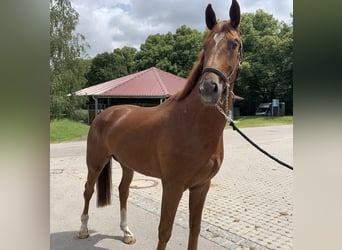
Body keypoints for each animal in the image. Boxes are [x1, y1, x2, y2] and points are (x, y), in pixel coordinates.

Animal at [79, 0, 242, 249]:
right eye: (205, 45)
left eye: (234, 44)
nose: (208, 88)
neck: (193, 125)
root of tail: (104, 114)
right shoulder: (172, 185)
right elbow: (164, 231)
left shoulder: (201, 186)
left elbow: (195, 230)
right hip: (95, 163)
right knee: (88, 191)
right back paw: (83, 229)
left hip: (127, 164)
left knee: (123, 191)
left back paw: (126, 232)